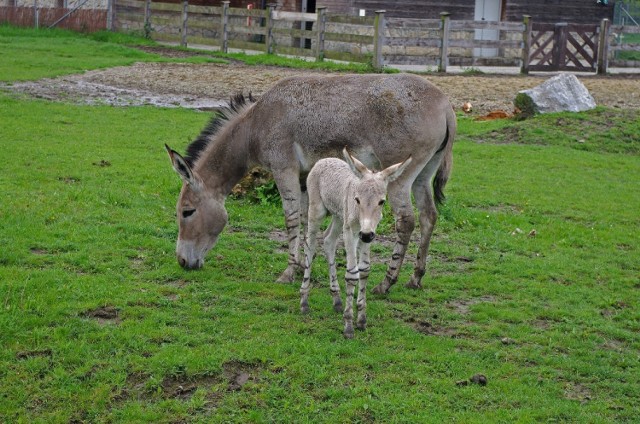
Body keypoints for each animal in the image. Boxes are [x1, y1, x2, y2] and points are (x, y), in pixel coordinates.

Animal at [298, 148, 410, 338]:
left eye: (382, 201)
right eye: (357, 199)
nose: (365, 235)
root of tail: (325, 159)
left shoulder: (369, 233)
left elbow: (364, 270)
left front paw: (361, 319)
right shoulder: (351, 231)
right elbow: (352, 274)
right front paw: (349, 326)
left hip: (338, 216)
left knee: (328, 240)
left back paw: (336, 300)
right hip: (316, 211)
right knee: (310, 245)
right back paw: (304, 301)